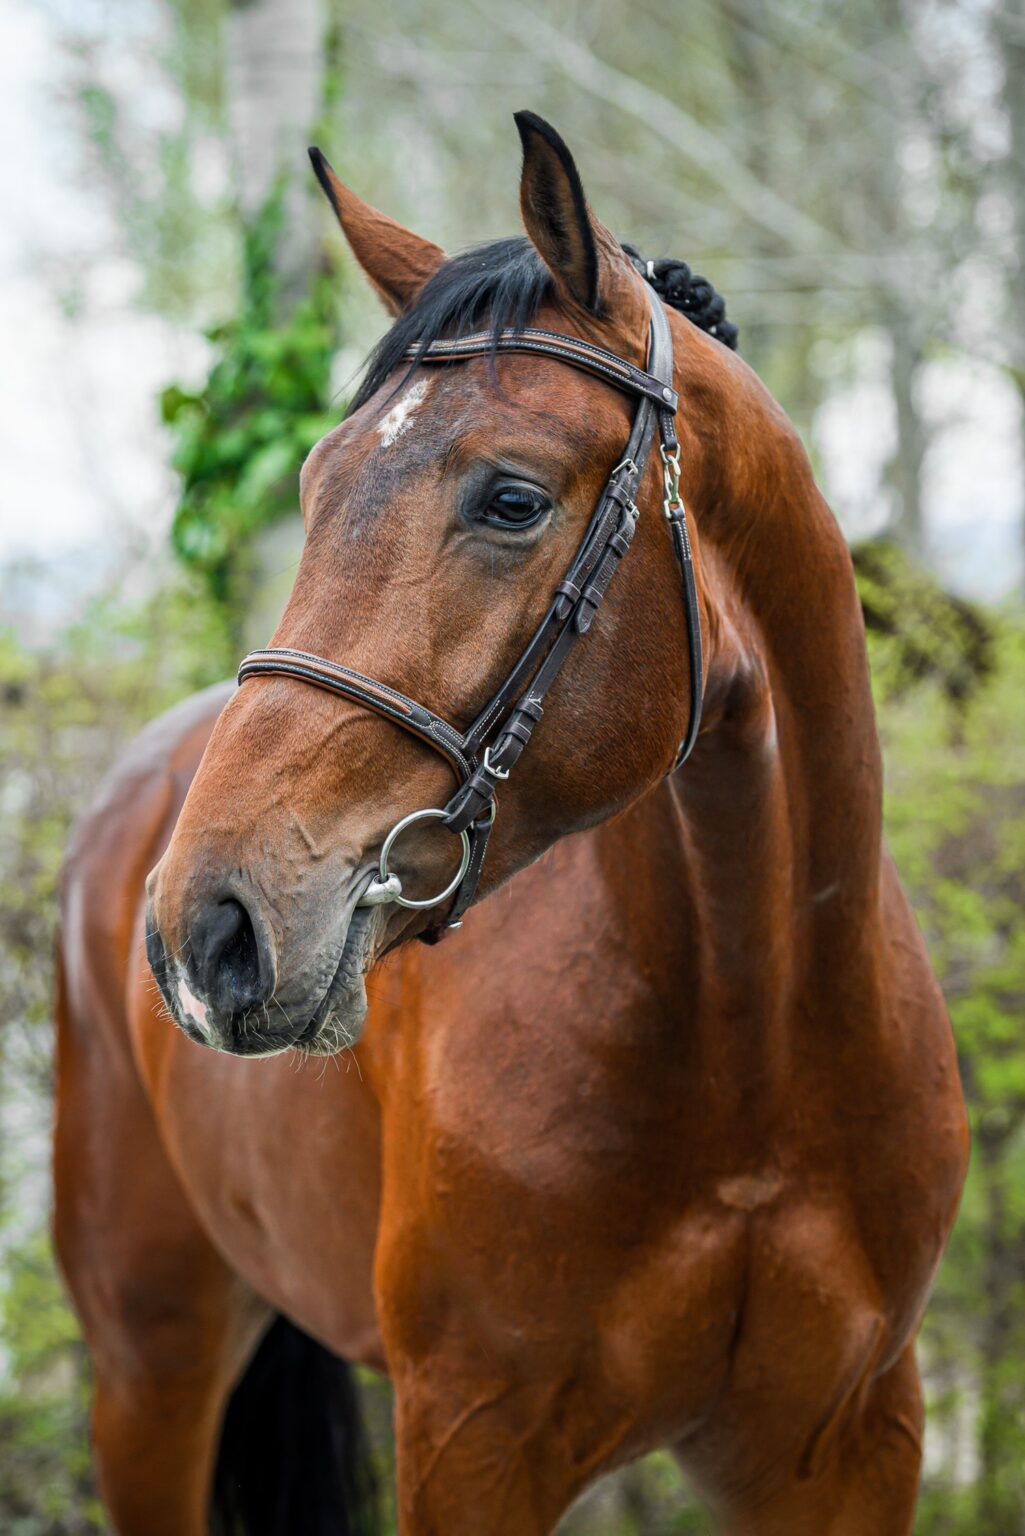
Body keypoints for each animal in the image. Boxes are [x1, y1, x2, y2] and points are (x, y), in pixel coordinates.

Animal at [55, 112, 968, 1535]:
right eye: (312, 485)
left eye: (511, 501)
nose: (207, 930)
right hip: (151, 1370)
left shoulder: (850, 1448)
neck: (758, 1047)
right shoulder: (472, 1444)